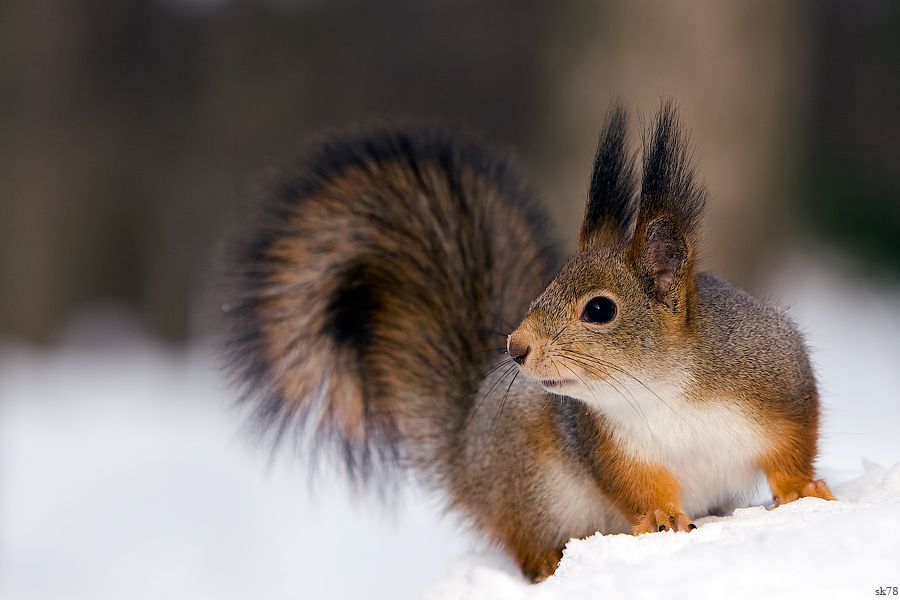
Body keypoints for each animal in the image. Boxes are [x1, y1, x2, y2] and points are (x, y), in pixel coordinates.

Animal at [220, 102, 836, 580]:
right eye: (546, 286)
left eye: (599, 310)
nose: (516, 348)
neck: (667, 386)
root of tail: (467, 454)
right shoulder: (608, 445)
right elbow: (636, 488)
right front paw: (661, 519)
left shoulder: (779, 387)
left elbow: (794, 447)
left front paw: (803, 491)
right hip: (529, 489)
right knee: (527, 543)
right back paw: (549, 565)